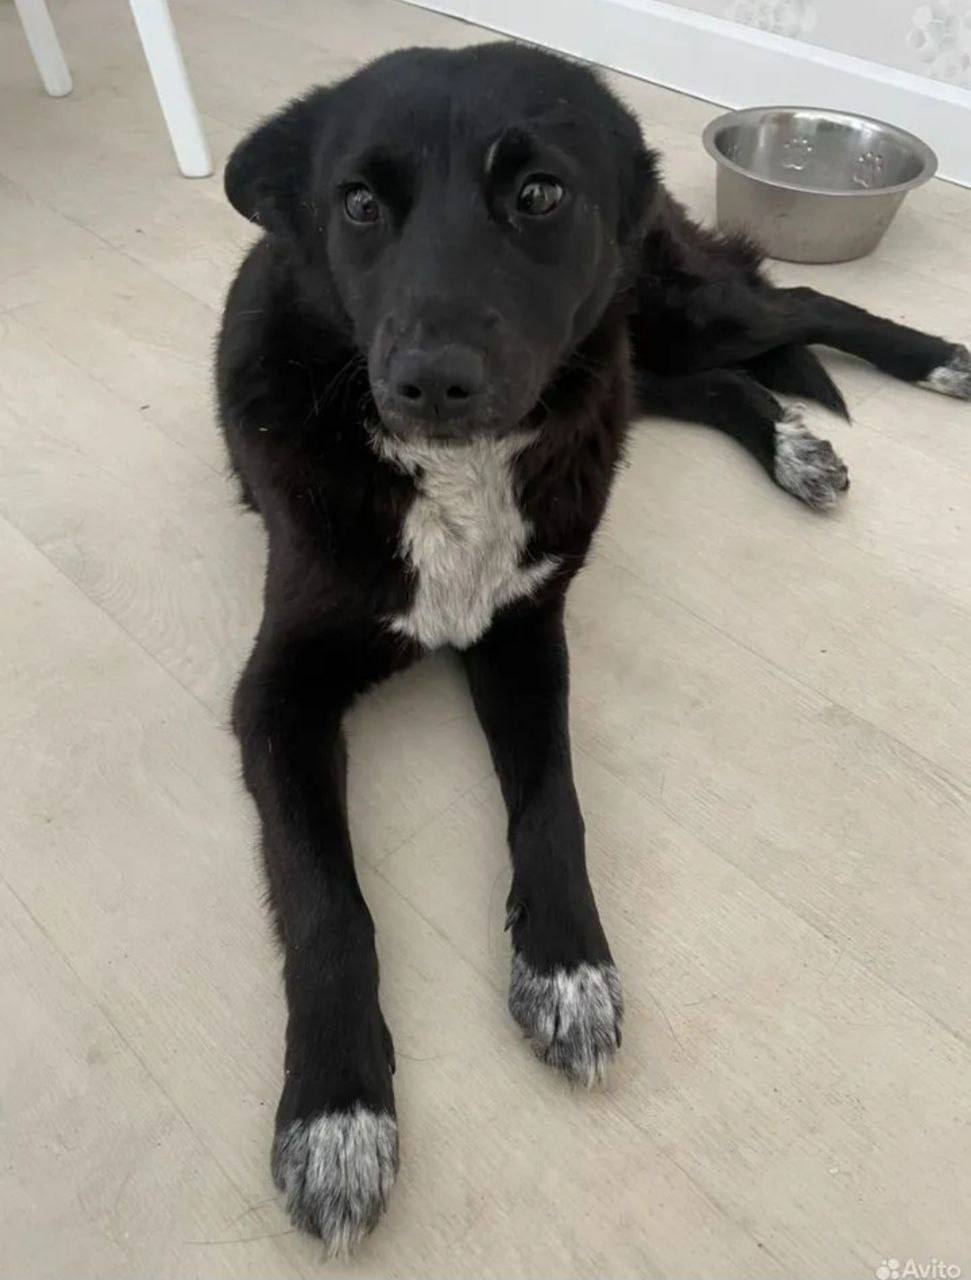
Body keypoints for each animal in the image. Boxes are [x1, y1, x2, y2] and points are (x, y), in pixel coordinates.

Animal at [216, 41, 969, 1253]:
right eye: (359, 204)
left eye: (537, 194)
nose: (430, 382)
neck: (454, 479)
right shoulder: (277, 695)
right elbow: (327, 899)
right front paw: (336, 1112)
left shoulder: (526, 634)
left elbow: (552, 805)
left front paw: (568, 964)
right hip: (622, 362)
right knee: (717, 377)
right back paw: (796, 444)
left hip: (652, 314)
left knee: (793, 304)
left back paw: (938, 358)